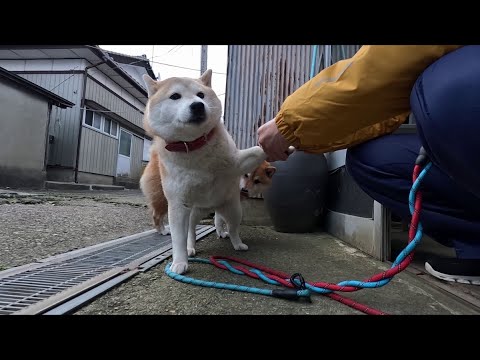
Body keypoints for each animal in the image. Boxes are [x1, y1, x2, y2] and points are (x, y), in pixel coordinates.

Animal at [141, 69, 266, 274]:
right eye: (175, 96)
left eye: (201, 95)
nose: (198, 105)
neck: (194, 146)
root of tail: (212, 207)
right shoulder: (178, 204)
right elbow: (179, 238)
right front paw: (179, 262)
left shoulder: (237, 163)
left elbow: (257, 150)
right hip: (188, 211)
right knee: (189, 231)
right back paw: (189, 246)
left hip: (233, 210)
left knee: (232, 228)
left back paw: (237, 243)